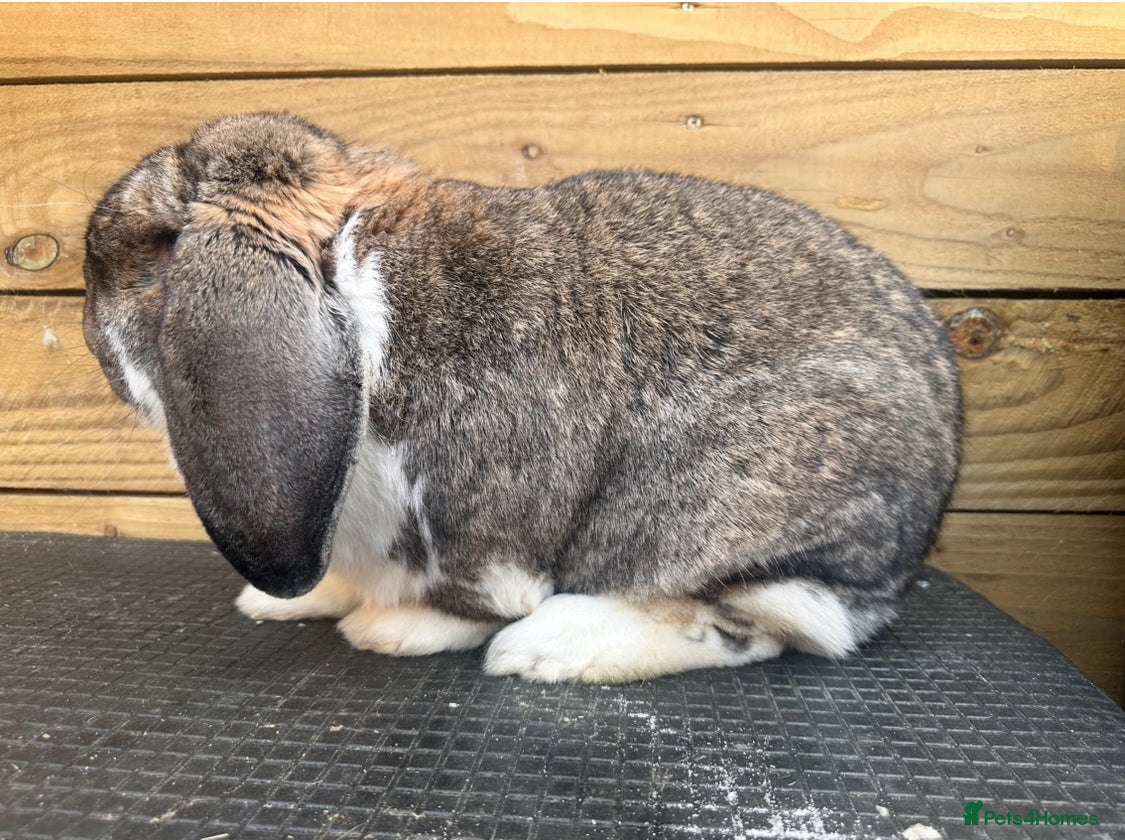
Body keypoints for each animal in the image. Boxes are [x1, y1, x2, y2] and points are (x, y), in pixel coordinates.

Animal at [83, 112, 962, 683]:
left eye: (147, 247)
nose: (89, 334)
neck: (356, 291)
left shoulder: (477, 525)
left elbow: (471, 598)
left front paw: (387, 630)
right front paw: (291, 602)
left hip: (713, 512)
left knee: (763, 624)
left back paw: (544, 650)